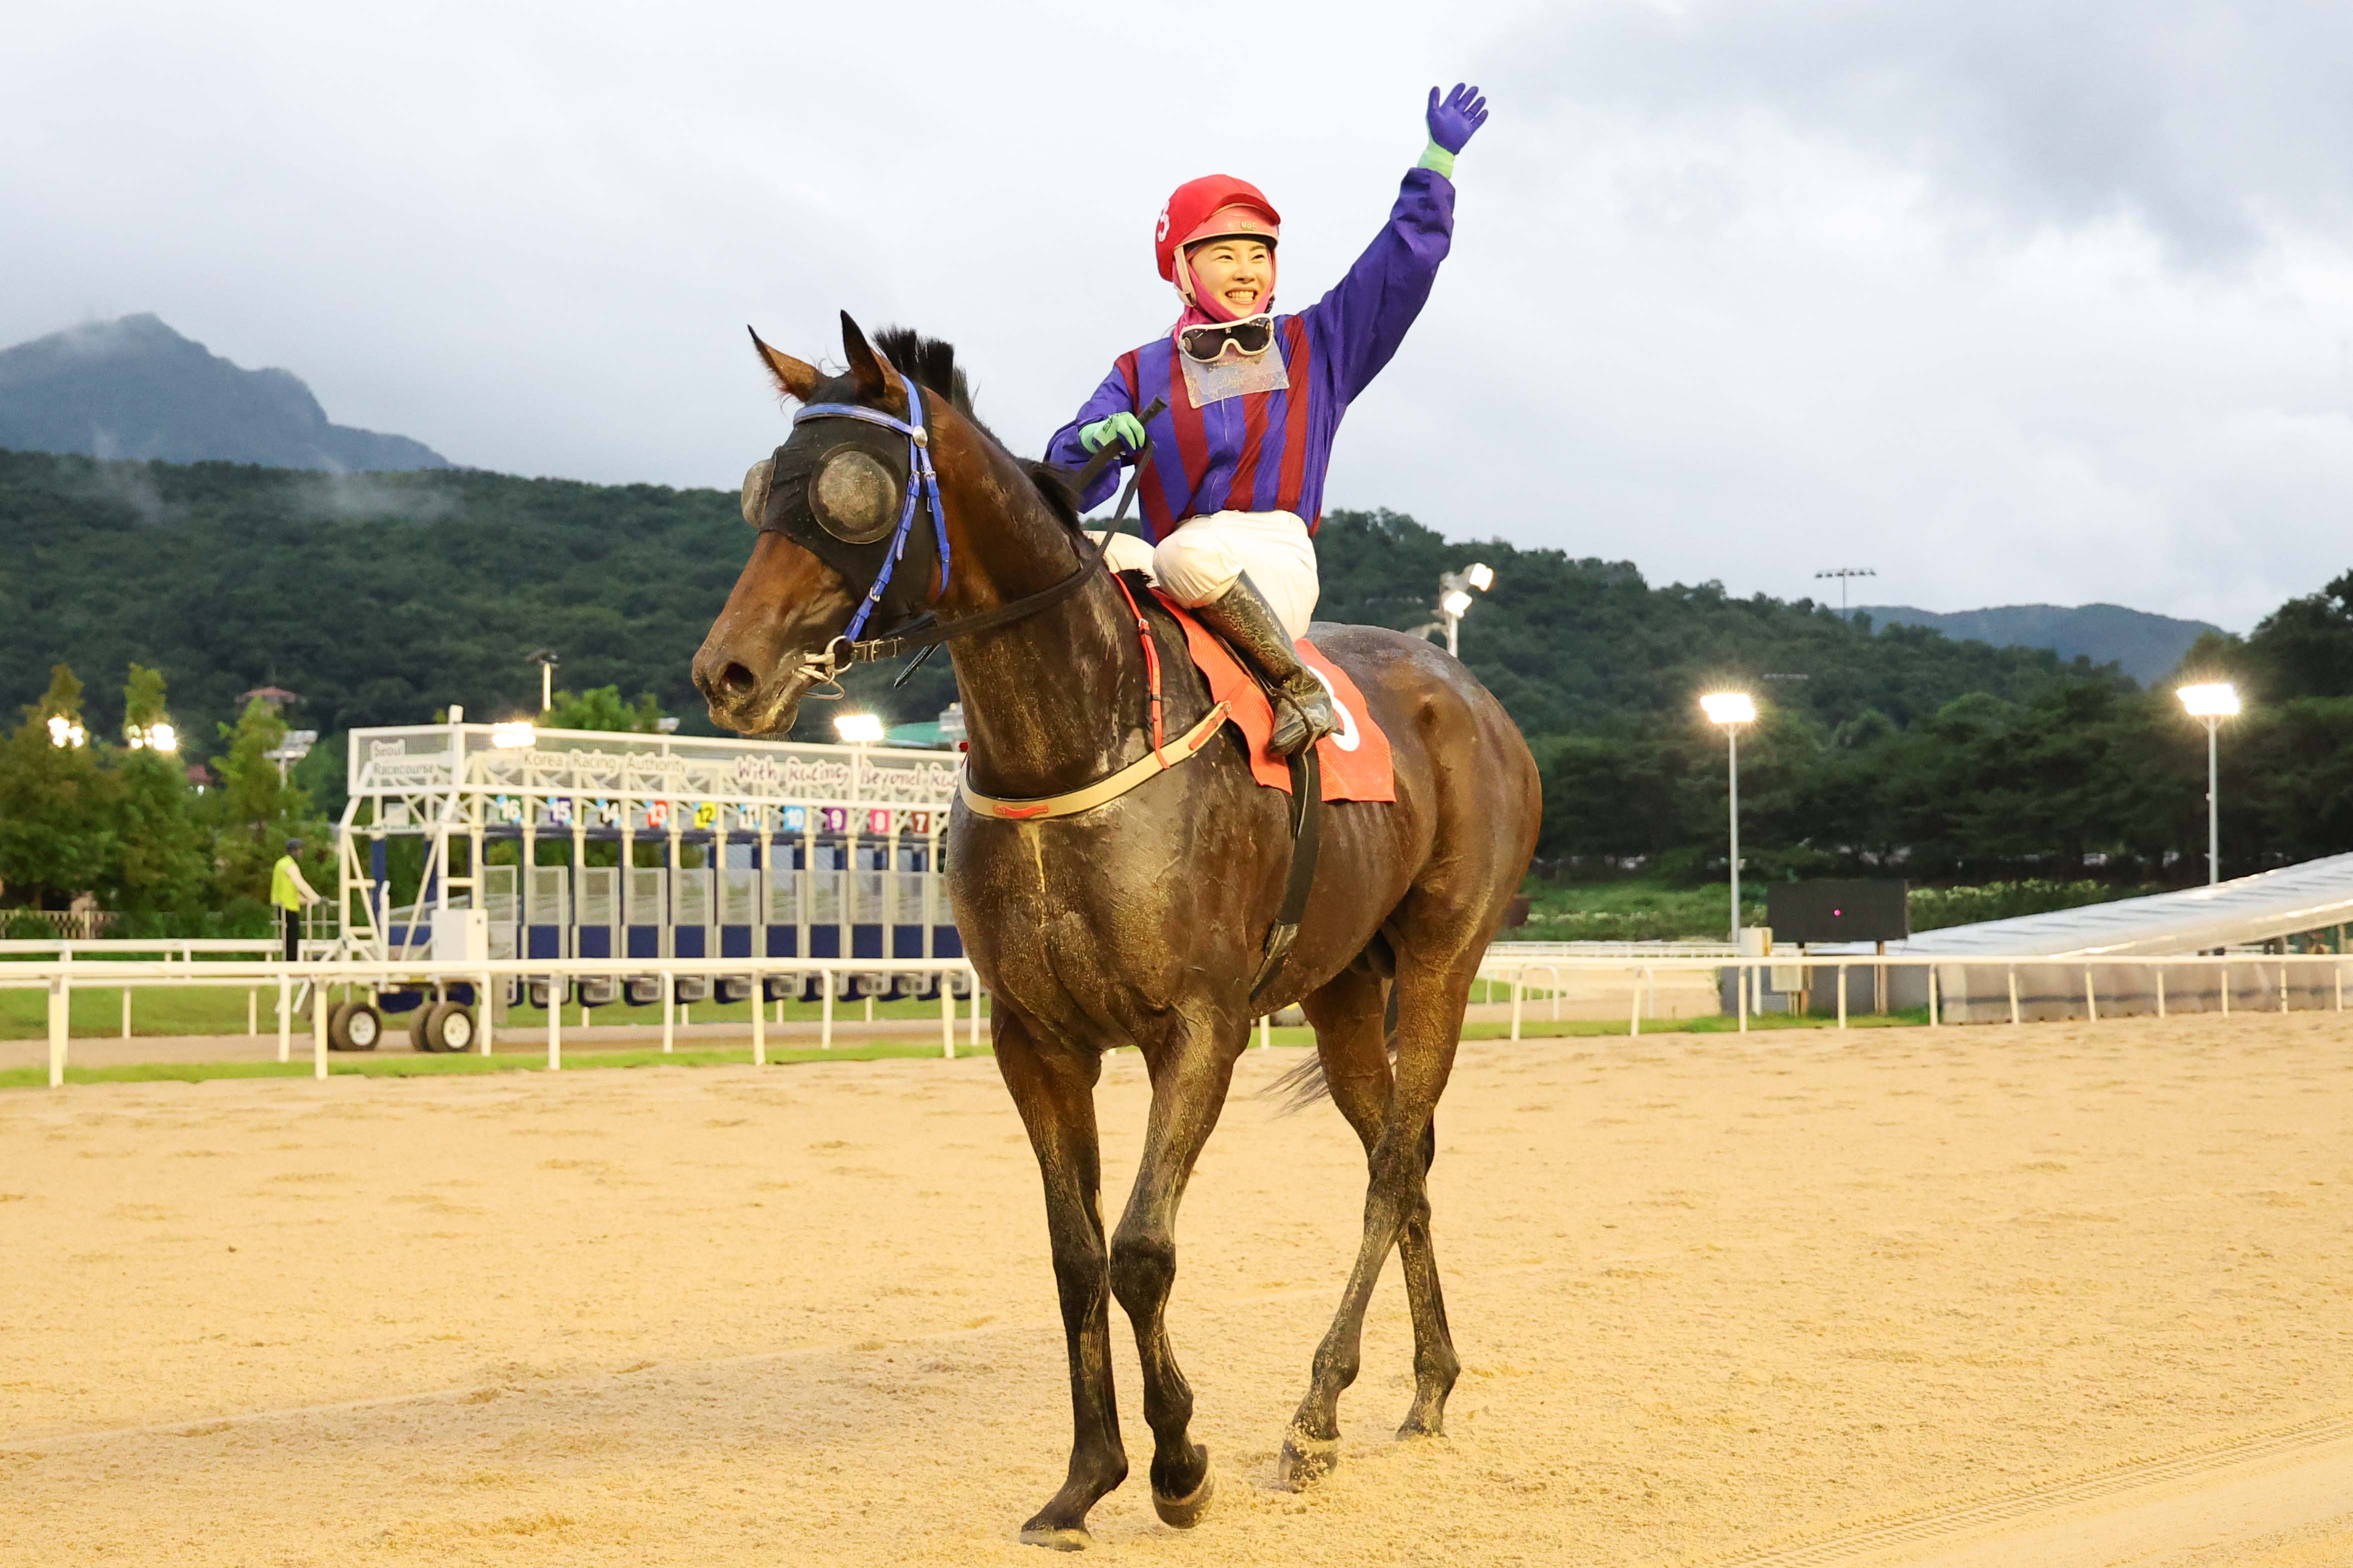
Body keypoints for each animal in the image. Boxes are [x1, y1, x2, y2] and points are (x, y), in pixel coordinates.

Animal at [687, 315, 1552, 1542]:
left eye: (854, 490)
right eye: (765, 487)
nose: (729, 671)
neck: (1070, 742)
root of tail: (1464, 689)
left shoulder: (1198, 1028)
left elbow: (1142, 1250)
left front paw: (1178, 1462)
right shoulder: (1035, 1041)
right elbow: (1074, 1254)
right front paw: (1086, 1475)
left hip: (1442, 958)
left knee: (1391, 1165)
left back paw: (1314, 1413)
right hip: (1342, 986)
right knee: (1409, 1152)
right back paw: (1424, 1386)